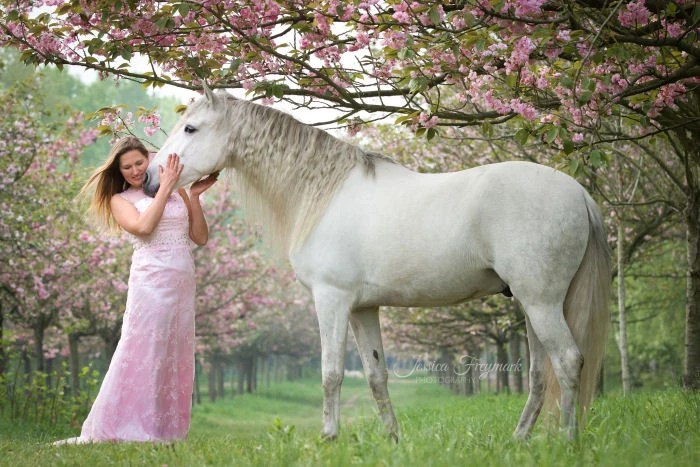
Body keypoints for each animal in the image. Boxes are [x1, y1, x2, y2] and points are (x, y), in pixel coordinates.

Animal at [143, 87, 611, 441]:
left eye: (190, 128)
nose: (150, 180)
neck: (323, 192)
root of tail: (579, 193)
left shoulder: (331, 301)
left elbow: (331, 373)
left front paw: (329, 438)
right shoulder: (363, 309)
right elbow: (375, 376)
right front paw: (392, 439)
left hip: (541, 302)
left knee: (568, 361)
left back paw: (567, 441)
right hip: (531, 305)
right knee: (539, 374)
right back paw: (519, 441)